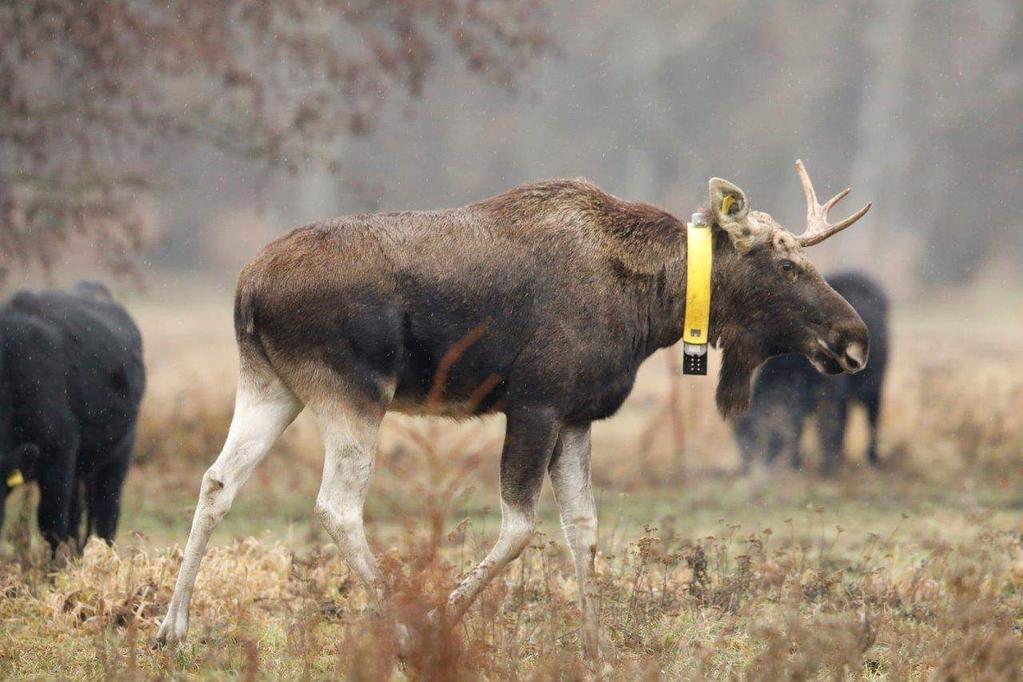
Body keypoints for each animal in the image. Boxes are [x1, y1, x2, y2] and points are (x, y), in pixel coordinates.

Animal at [153, 160, 871, 662]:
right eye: (785, 263)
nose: (854, 339)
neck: (654, 308)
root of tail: (247, 290)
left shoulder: (577, 414)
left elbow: (582, 527)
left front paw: (599, 647)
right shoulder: (536, 402)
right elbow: (521, 526)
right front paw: (439, 619)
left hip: (273, 384)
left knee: (218, 481)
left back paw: (172, 627)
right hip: (352, 390)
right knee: (336, 505)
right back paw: (399, 628)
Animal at [732, 271, 892, 474]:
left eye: (759, 434)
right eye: (738, 436)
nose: (747, 468)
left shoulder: (829, 393)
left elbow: (823, 424)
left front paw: (824, 464)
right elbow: (801, 426)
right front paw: (798, 462)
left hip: (873, 385)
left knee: (871, 417)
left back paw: (872, 457)